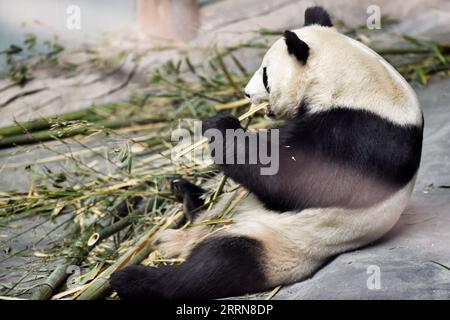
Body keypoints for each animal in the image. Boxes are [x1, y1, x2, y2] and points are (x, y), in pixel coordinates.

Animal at [110, 5, 424, 300]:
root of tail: (196, 237)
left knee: (218, 264)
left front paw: (220, 125)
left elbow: (286, 177)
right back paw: (185, 193)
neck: (359, 82)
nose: (247, 94)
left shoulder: (358, 134)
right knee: (212, 208)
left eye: (264, 74)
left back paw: (132, 279)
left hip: (280, 242)